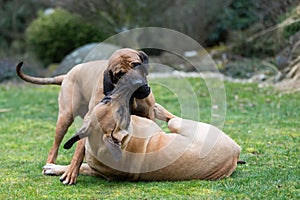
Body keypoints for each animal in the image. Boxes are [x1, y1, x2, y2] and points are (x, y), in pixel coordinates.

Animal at [15, 48, 176, 167]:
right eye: (120, 74)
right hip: (65, 117)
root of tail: (67, 75)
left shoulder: (148, 114)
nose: (137, 83)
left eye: (136, 64)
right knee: (55, 146)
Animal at [42, 67, 241, 184]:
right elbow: (82, 166)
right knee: (170, 117)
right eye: (107, 100)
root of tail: (235, 153)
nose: (128, 85)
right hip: (178, 124)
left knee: (170, 117)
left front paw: (55, 168)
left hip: (177, 124)